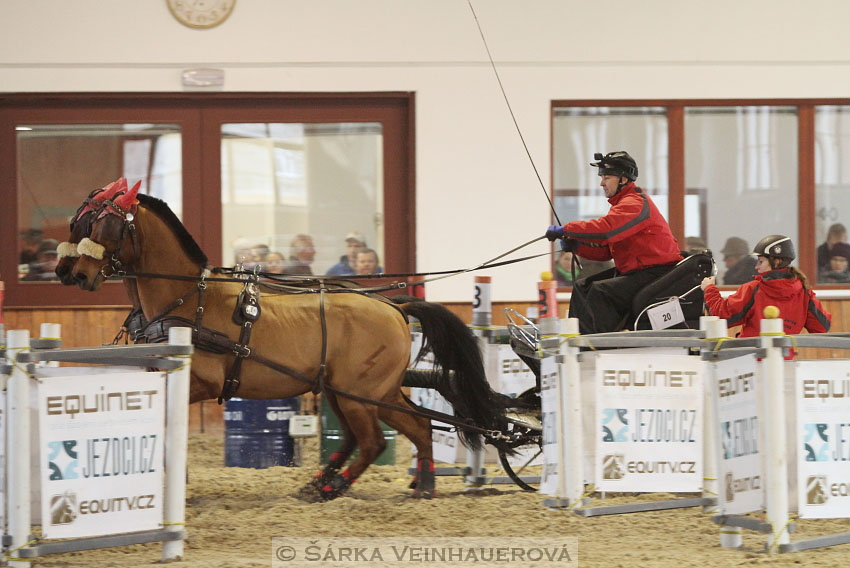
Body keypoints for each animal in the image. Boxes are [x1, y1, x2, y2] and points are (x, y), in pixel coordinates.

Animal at [69, 184, 506, 500]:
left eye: (103, 226)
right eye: (81, 223)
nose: (74, 275)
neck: (188, 297)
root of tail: (393, 306)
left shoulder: (201, 382)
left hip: (361, 394)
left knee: (373, 440)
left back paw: (336, 488)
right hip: (359, 392)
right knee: (410, 427)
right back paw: (405, 484)